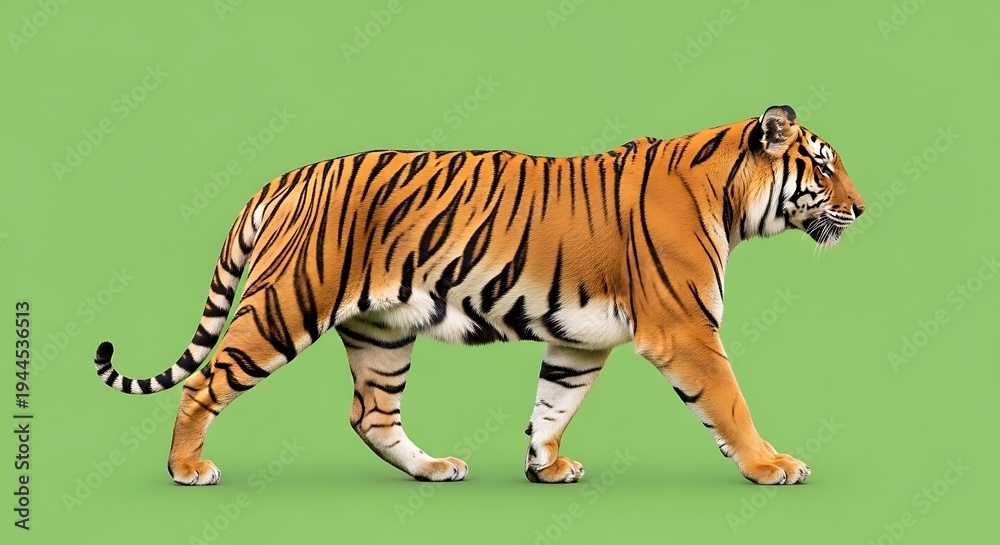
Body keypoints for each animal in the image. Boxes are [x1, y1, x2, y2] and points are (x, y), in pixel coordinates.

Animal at [93, 105, 864, 486]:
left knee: (371, 414)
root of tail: (288, 176)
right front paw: (772, 466)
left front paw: (546, 468)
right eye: (824, 167)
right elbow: (730, 404)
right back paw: (186, 468)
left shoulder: (578, 339)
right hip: (286, 306)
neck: (730, 199)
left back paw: (434, 469)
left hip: (381, 331)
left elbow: (553, 405)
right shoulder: (686, 330)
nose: (862, 208)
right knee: (206, 383)